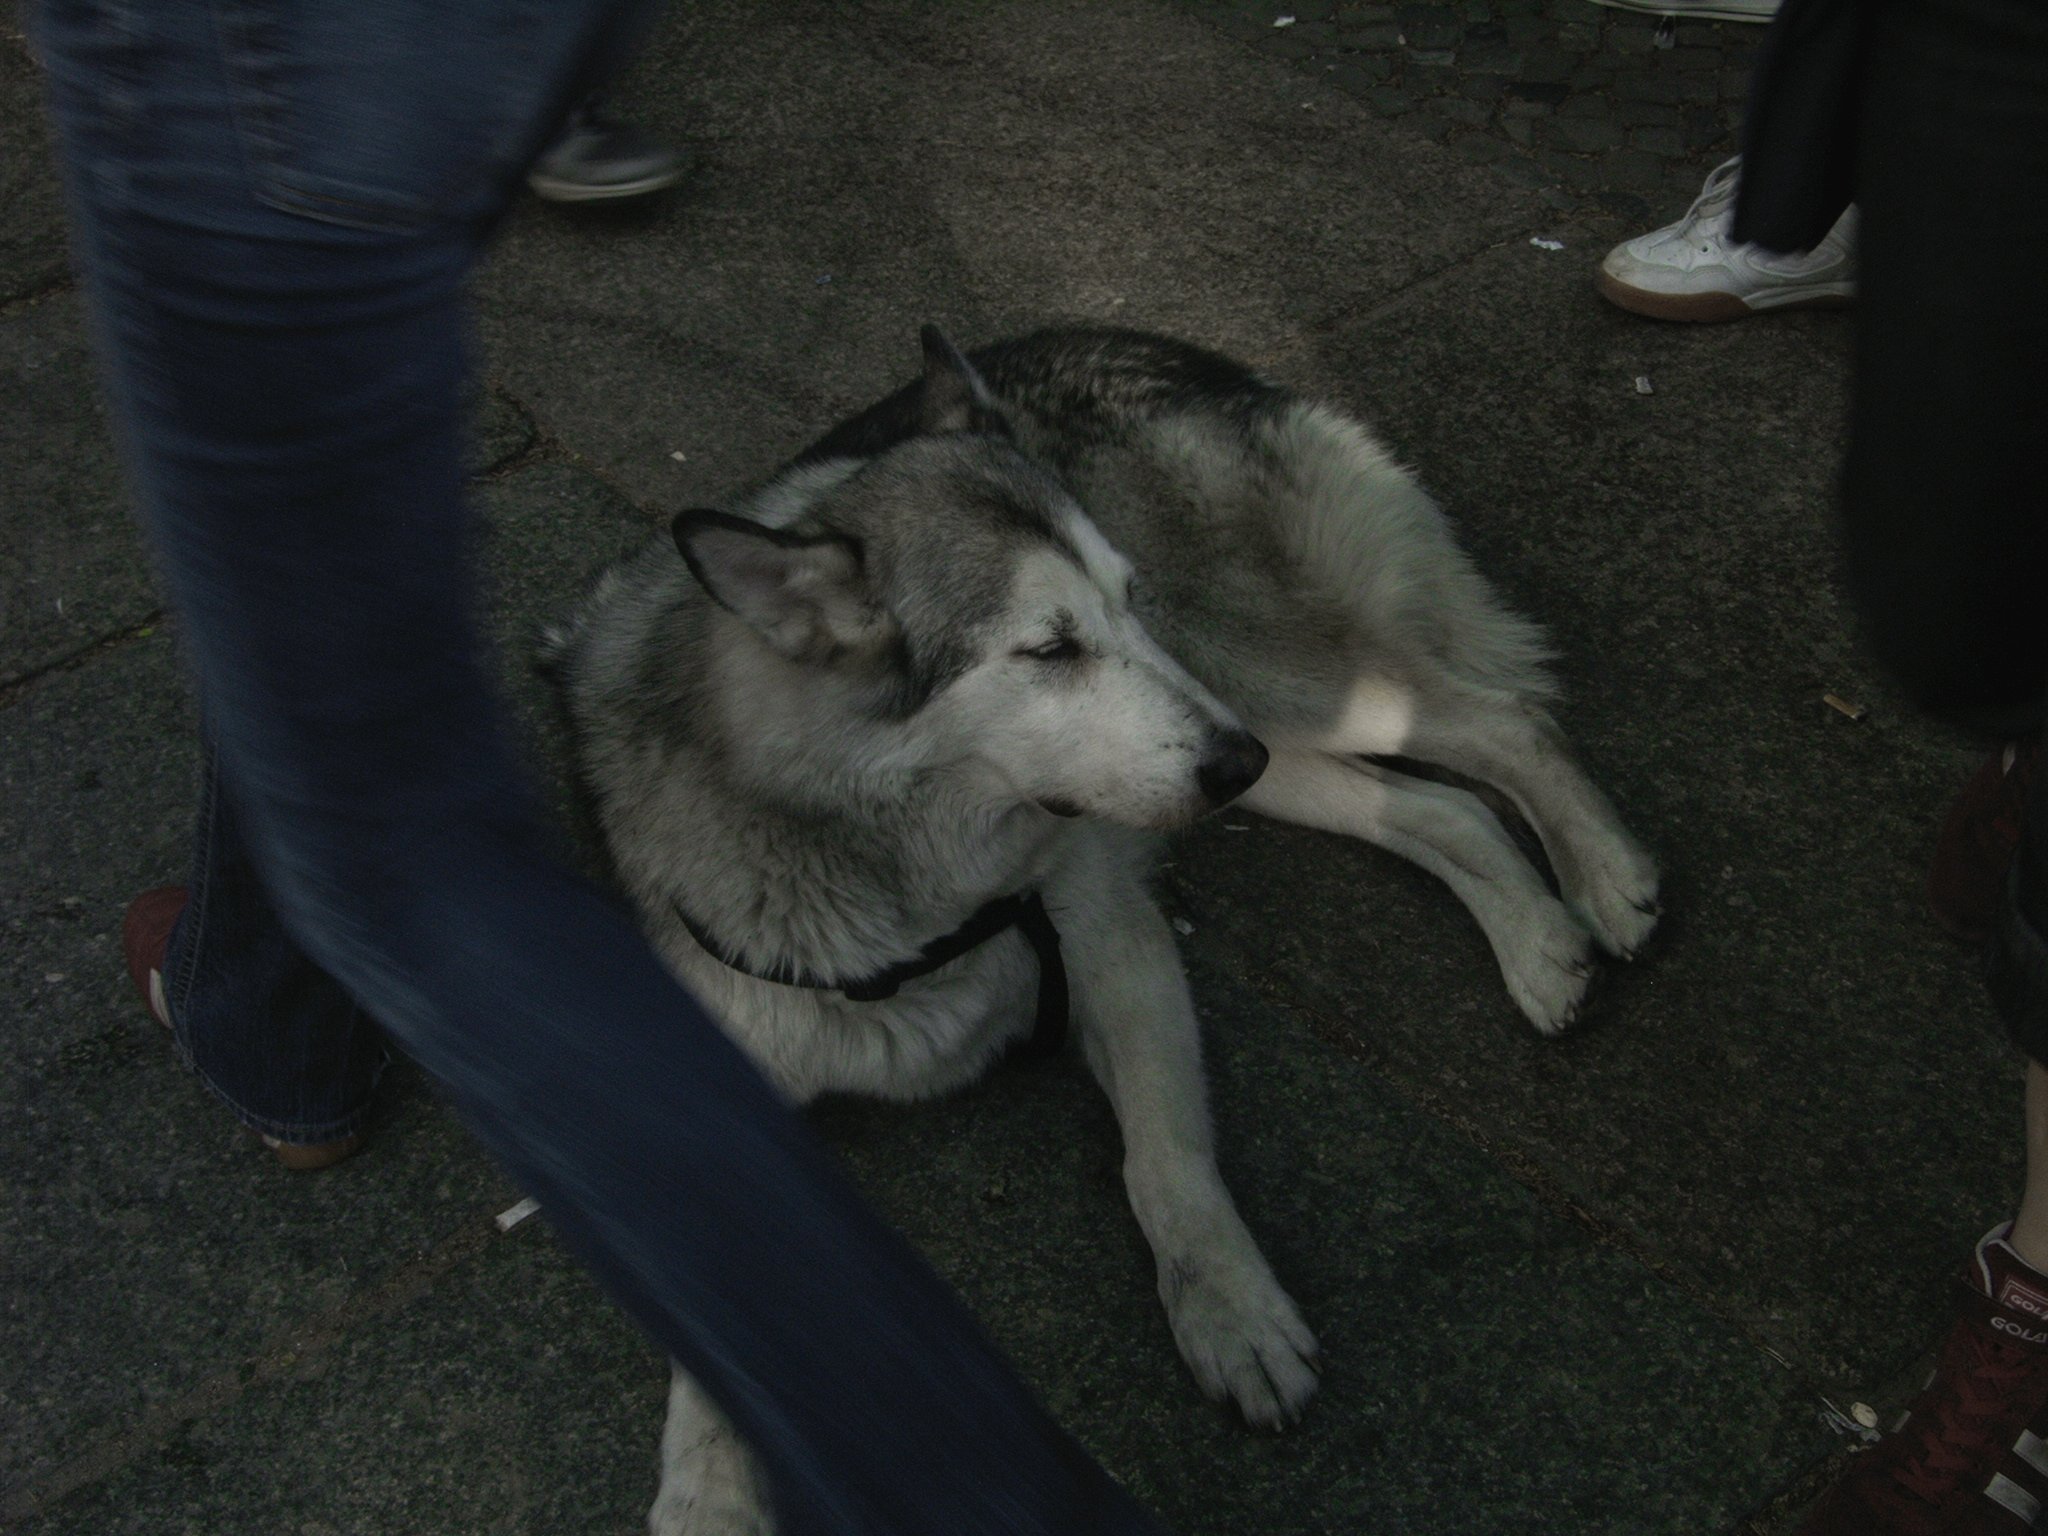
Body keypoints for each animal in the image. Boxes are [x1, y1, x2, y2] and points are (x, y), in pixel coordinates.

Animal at [548, 327, 1662, 1536]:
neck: (901, 874)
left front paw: (1232, 1319)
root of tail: (1135, 344)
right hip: (1253, 750)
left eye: (1124, 602)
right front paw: (709, 1490)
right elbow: (709, 1323)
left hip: (1267, 696)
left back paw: (1605, 878)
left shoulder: (1111, 938)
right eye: (1049, 649)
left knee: (1500, 721)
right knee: (1440, 808)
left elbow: (1164, 1167)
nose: (1231, 758)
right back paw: (1538, 944)